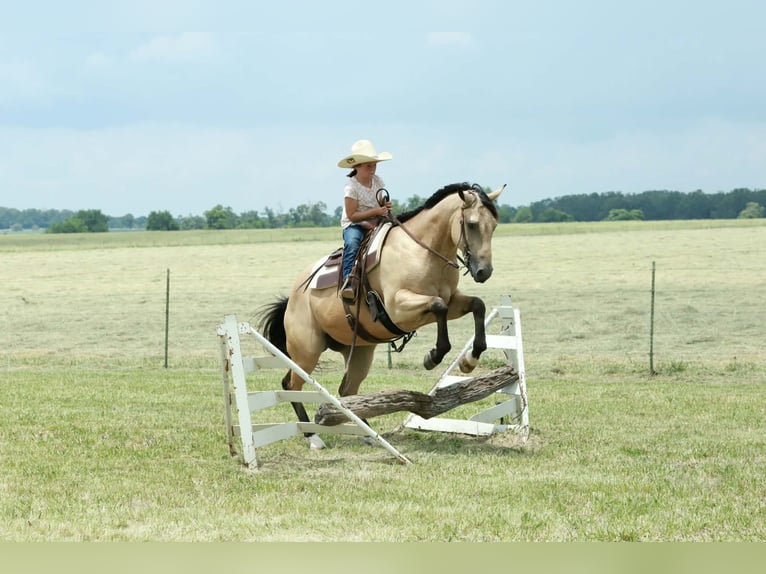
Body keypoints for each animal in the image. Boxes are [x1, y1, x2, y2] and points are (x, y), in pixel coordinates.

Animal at [258, 182, 505, 449]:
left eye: (494, 225)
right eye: (471, 224)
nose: (484, 272)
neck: (422, 251)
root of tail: (292, 298)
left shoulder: (452, 301)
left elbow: (477, 305)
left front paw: (470, 360)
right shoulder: (399, 309)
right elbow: (438, 306)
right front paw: (433, 356)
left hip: (360, 353)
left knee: (347, 389)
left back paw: (368, 434)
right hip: (307, 352)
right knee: (291, 385)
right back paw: (313, 437)